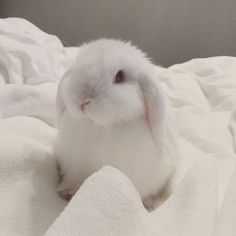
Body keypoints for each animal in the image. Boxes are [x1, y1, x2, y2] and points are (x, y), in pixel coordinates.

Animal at [54, 39, 177, 210]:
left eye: (120, 76)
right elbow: (74, 179)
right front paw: (66, 191)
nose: (82, 99)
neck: (99, 126)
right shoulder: (75, 167)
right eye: (77, 67)